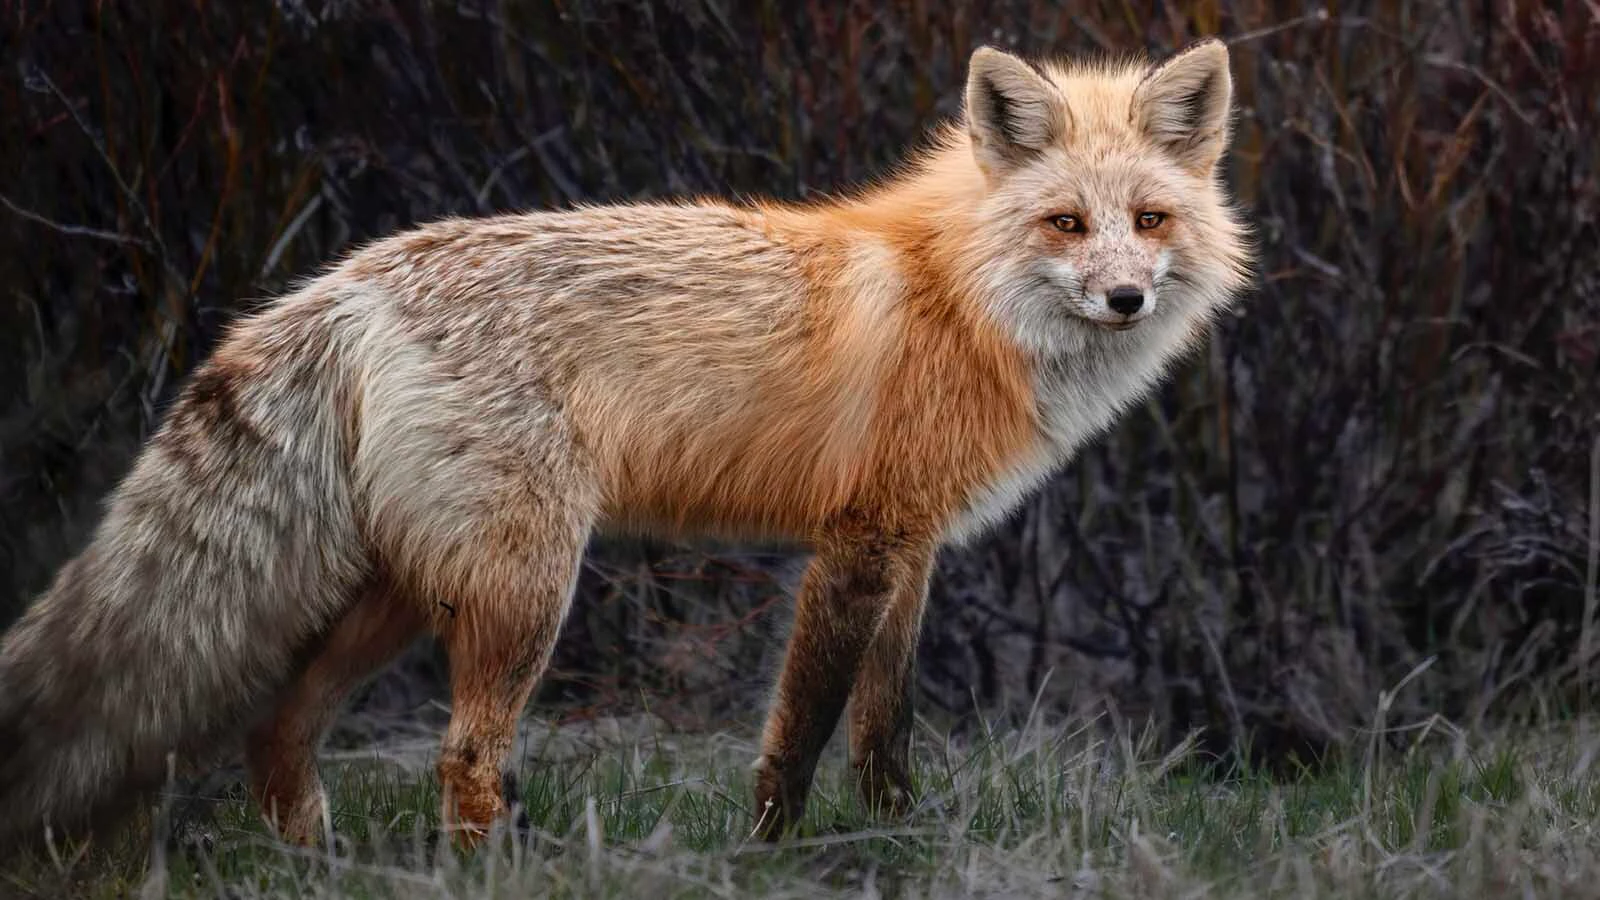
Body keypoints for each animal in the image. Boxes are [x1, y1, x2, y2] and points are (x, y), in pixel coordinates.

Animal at [0, 38, 1253, 855]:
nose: (1128, 298)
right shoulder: (856, 547)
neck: (958, 295)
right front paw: (769, 855)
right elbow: (801, 731)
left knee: (279, 730)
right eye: (1065, 225)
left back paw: (316, 867)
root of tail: (348, 282)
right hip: (522, 593)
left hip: (396, 592)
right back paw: (484, 874)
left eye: (1148, 220)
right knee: (461, 756)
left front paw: (899, 840)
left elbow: (882, 728)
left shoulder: (912, 548)